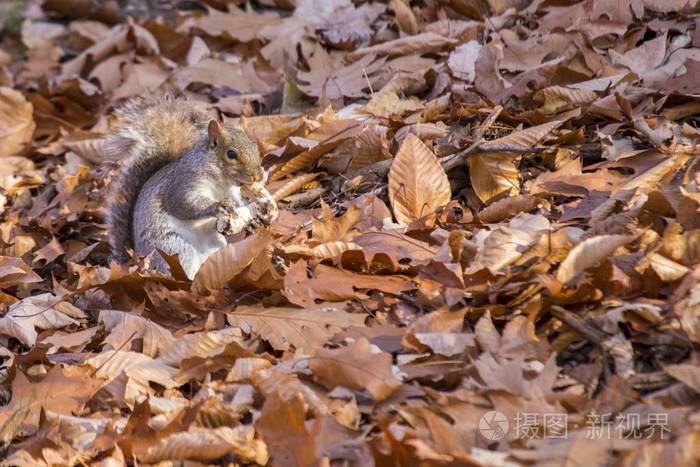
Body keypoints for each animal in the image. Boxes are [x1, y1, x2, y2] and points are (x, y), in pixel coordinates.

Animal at [105, 96, 278, 278]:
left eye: (254, 146)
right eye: (231, 154)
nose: (257, 176)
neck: (221, 182)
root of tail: (136, 258)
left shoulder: (232, 192)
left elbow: (240, 203)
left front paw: (259, 214)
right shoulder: (184, 183)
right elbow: (183, 204)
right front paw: (218, 206)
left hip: (215, 245)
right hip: (171, 247)